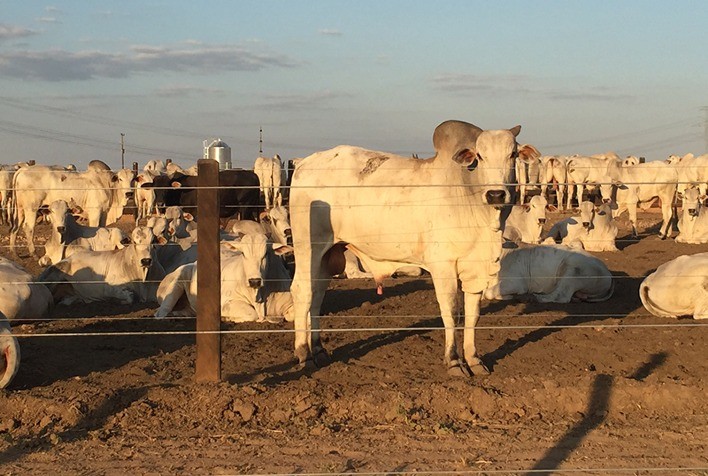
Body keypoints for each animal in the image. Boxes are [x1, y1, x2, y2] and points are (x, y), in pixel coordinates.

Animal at [155, 232, 294, 322]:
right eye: (243, 253)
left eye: (266, 253)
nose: (254, 281)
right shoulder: (227, 303)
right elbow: (252, 314)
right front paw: (227, 317)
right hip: (176, 284)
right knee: (160, 312)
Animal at [286, 120, 520, 376]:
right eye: (480, 155)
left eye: (513, 154)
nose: (496, 194)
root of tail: (304, 163)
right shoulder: (443, 266)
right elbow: (451, 311)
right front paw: (454, 361)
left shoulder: (475, 266)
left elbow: (473, 314)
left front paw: (474, 359)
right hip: (308, 247)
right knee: (302, 291)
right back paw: (304, 354)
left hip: (328, 255)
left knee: (317, 295)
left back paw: (318, 350)